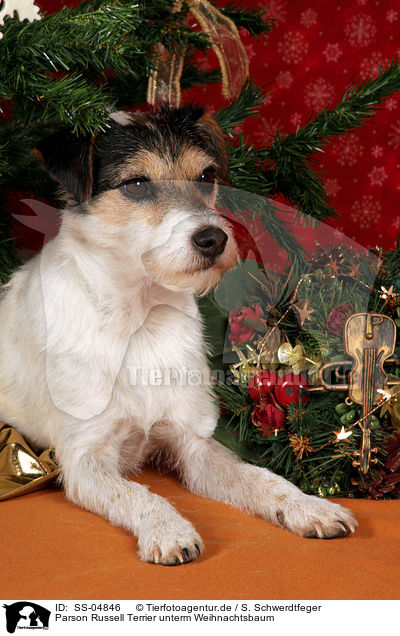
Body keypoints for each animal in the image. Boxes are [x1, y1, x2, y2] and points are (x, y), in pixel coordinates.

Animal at [0, 105, 356, 568]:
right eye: (136, 184)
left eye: (206, 176)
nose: (213, 238)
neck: (141, 321)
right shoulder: (85, 461)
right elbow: (139, 494)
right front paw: (169, 531)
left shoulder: (195, 444)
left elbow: (262, 478)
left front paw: (309, 506)